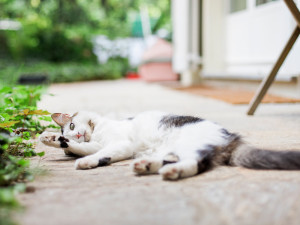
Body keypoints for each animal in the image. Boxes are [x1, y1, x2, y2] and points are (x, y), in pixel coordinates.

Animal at [39, 110, 300, 180]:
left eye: (72, 125)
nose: (76, 134)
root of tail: (230, 136)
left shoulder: (120, 143)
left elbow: (98, 152)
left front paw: (84, 158)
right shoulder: (110, 146)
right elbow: (90, 150)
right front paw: (53, 139)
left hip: (190, 145)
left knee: (196, 163)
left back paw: (172, 171)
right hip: (170, 149)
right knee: (172, 159)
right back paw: (146, 165)